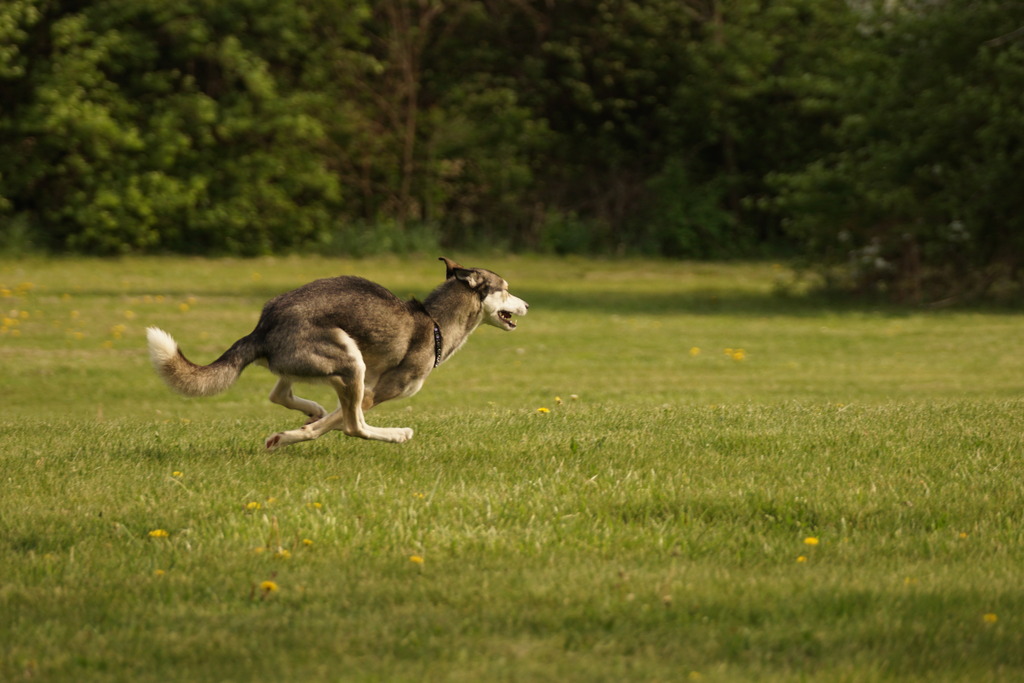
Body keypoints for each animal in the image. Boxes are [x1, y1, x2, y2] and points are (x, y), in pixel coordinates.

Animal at [146, 255, 528, 448]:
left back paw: (311, 409)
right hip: (350, 361)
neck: (434, 322)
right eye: (506, 289)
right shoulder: (374, 393)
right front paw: (287, 437)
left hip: (327, 364)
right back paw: (396, 435)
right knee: (355, 426)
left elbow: (325, 419)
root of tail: (263, 326)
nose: (526, 305)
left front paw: (298, 430)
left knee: (280, 393)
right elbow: (340, 424)